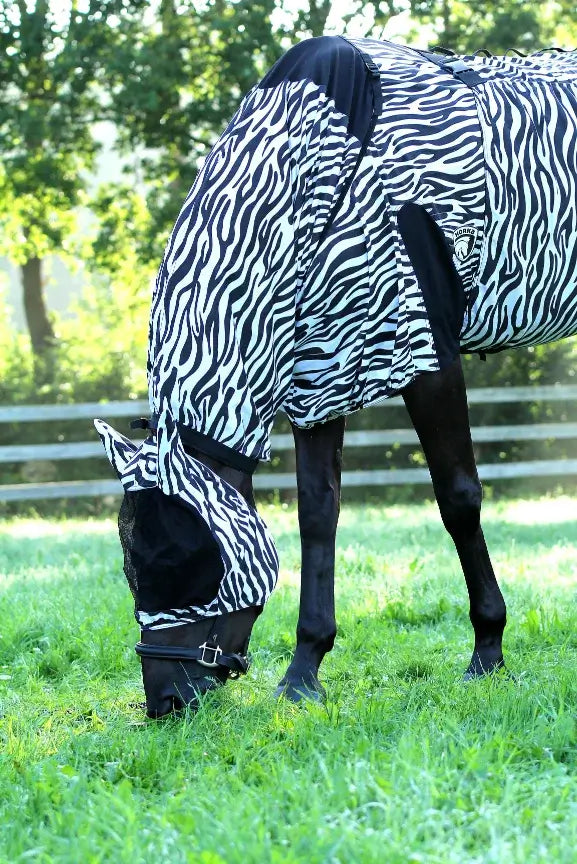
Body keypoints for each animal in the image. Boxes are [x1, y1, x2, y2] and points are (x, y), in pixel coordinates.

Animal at [96, 35, 577, 718]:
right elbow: (318, 513)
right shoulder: (320, 367)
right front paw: (304, 671)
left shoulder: (426, 354)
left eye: (181, 557)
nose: (165, 699)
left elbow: (459, 499)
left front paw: (487, 651)